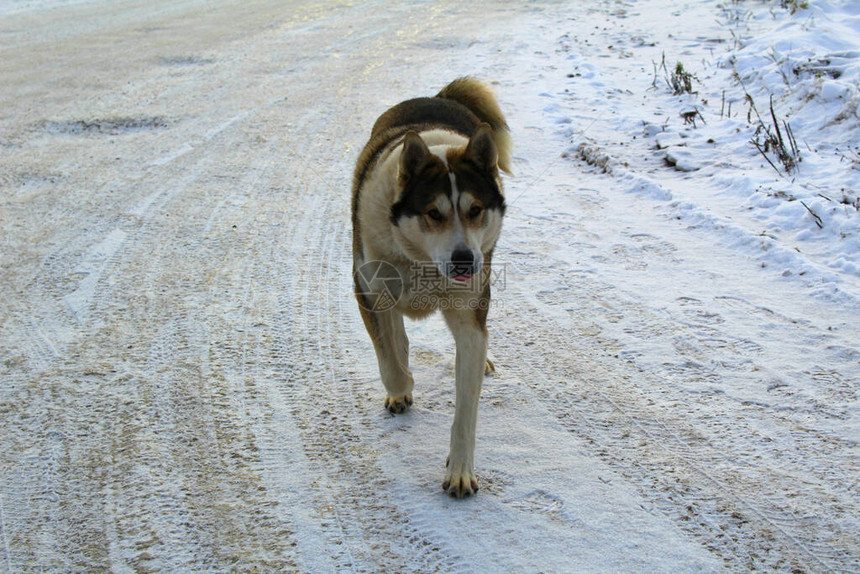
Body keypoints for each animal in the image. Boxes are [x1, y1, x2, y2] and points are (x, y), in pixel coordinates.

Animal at [352, 77, 510, 500]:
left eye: (475, 210)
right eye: (433, 213)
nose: (464, 261)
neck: (423, 260)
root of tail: (436, 97)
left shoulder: (470, 315)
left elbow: (466, 409)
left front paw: (460, 471)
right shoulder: (368, 289)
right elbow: (389, 360)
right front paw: (402, 386)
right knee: (396, 335)